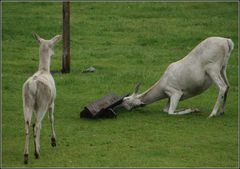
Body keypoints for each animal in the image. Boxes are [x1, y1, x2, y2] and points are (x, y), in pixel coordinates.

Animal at [22, 32, 62, 164]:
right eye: (52, 46)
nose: (53, 53)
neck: (44, 70)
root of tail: (33, 85)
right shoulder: (52, 102)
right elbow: (51, 119)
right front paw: (53, 141)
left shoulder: (35, 107)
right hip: (43, 102)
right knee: (36, 125)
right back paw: (36, 153)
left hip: (27, 102)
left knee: (28, 125)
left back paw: (26, 155)